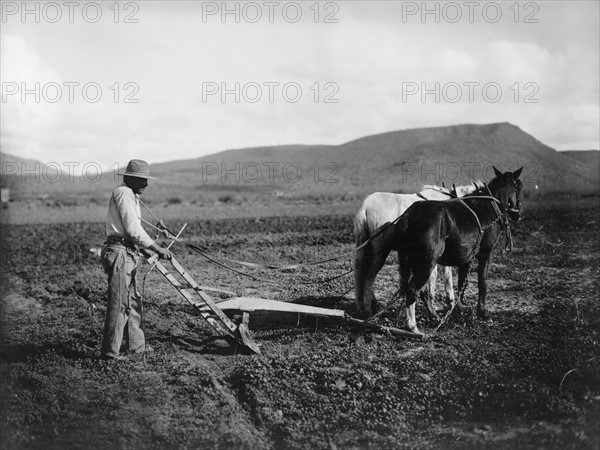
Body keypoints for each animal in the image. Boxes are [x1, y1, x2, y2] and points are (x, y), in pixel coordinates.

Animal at [354, 181, 480, 332]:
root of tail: (365, 207)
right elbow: (441, 278)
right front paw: (445, 305)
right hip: (381, 251)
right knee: (369, 278)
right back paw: (370, 309)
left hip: (364, 248)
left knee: (360, 273)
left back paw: (364, 306)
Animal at [392, 167, 524, 332]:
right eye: (519, 187)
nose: (519, 214)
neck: (488, 207)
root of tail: (410, 215)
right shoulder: (485, 253)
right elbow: (482, 282)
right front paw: (483, 312)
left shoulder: (466, 258)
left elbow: (462, 283)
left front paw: (459, 308)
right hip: (427, 263)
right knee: (412, 290)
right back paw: (412, 325)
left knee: (419, 291)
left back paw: (434, 317)